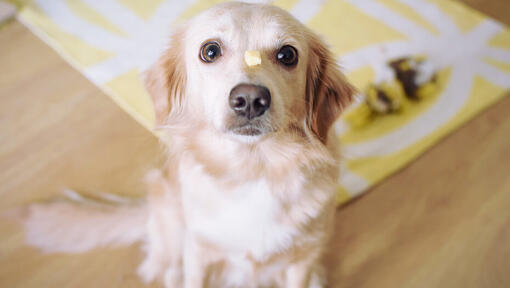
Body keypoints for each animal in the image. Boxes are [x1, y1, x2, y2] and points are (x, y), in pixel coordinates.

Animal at [14, 2, 354, 288]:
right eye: (210, 51)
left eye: (287, 55)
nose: (249, 100)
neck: (252, 169)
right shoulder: (199, 253)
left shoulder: (302, 259)